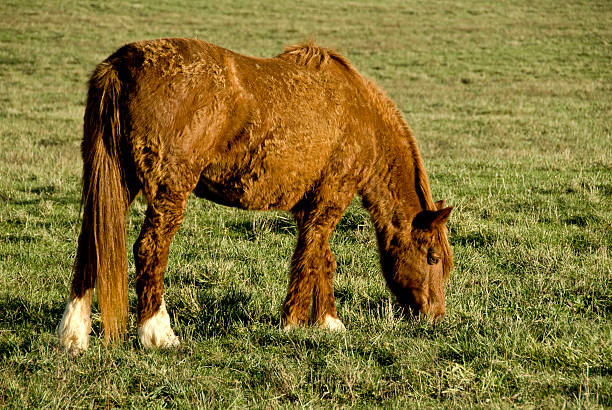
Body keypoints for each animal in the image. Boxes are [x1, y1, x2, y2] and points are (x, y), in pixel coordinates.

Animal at [56, 37, 450, 352]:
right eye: (432, 257)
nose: (435, 317)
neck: (362, 115)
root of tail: (121, 64)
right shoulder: (330, 199)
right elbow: (309, 257)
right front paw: (294, 323)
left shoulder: (308, 207)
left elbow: (321, 258)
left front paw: (328, 321)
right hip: (170, 190)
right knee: (149, 248)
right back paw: (157, 333)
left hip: (115, 183)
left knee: (91, 243)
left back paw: (74, 335)